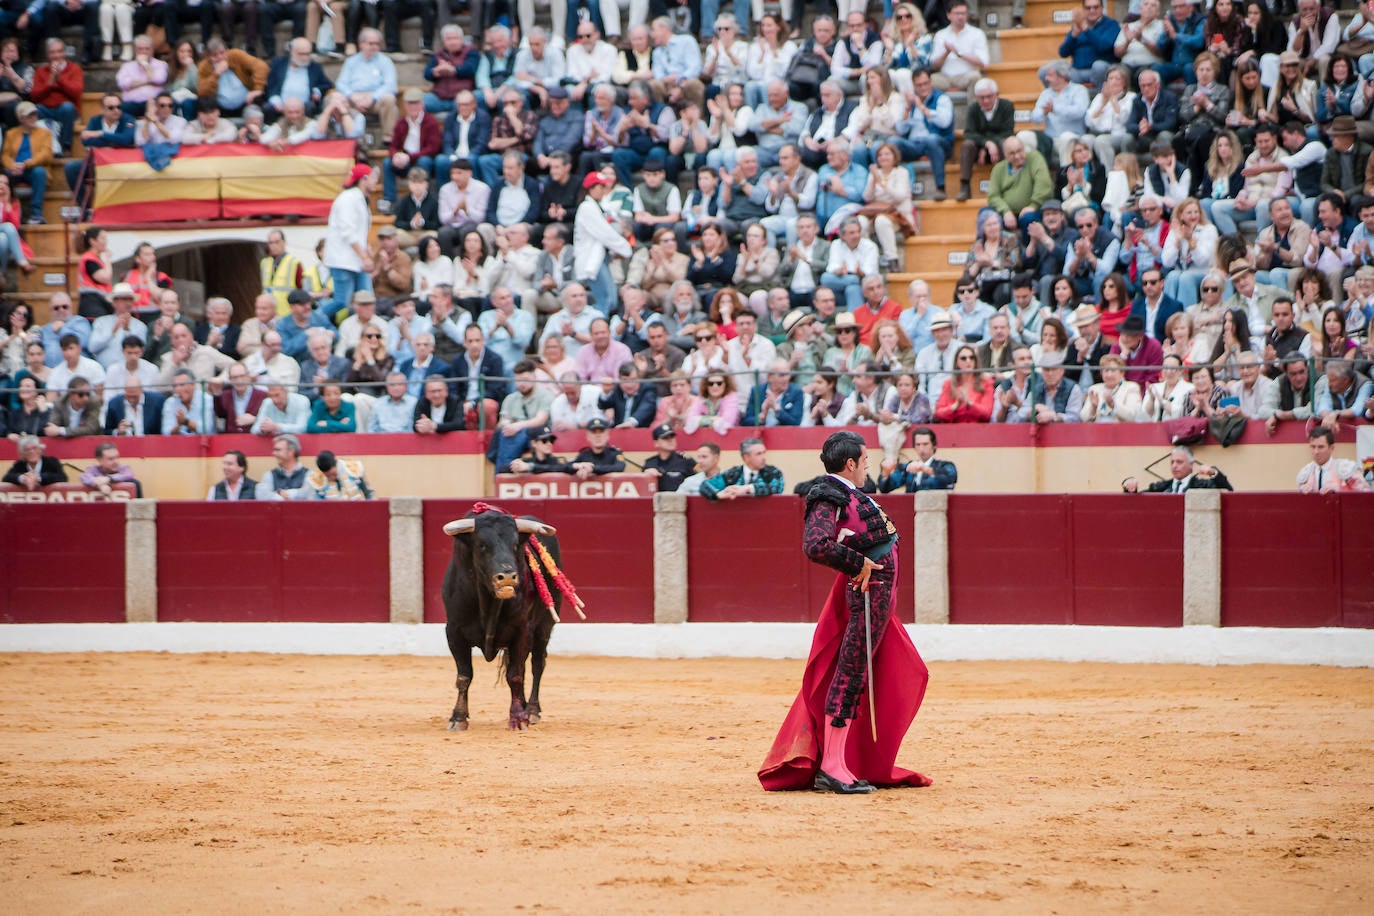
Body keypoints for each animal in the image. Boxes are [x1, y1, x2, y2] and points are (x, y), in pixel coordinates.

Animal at [445, 508, 563, 730]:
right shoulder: (453, 632)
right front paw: (458, 718)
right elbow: (464, 676)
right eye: (482, 545)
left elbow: (515, 676)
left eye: (515, 545)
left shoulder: (523, 631)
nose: (508, 577)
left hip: (545, 627)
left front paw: (518, 719)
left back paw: (531, 710)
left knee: (537, 665)